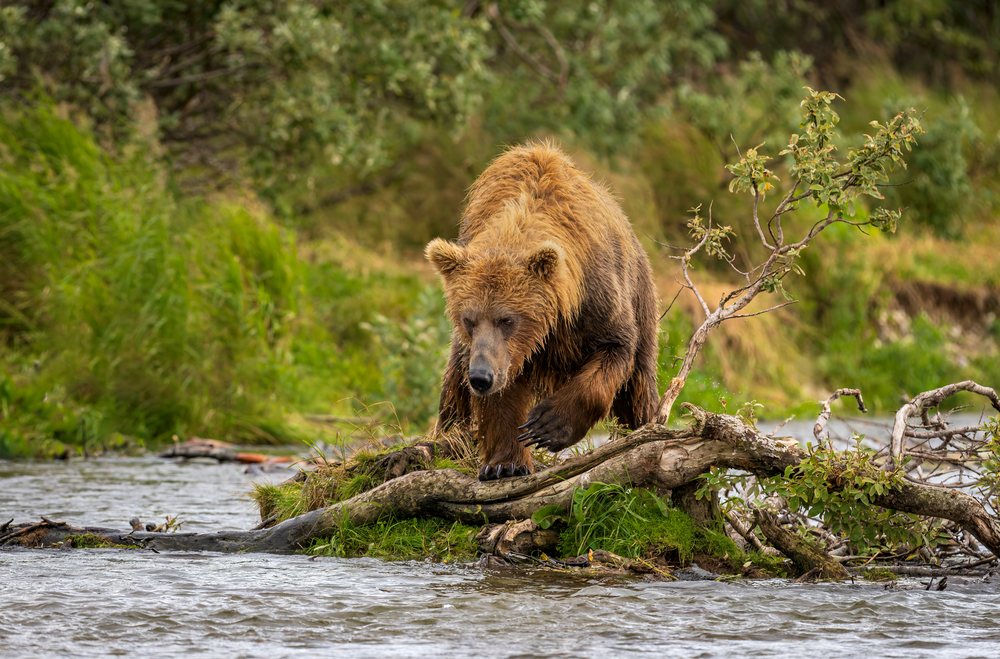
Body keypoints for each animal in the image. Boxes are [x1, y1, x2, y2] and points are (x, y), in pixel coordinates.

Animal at [425, 142, 659, 481]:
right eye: (468, 319)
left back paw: (643, 428)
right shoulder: (502, 353)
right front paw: (505, 463)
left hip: (641, 297)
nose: (481, 376)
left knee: (638, 387)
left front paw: (547, 426)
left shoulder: (596, 301)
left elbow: (612, 351)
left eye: (507, 319)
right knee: (455, 390)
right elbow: (502, 395)